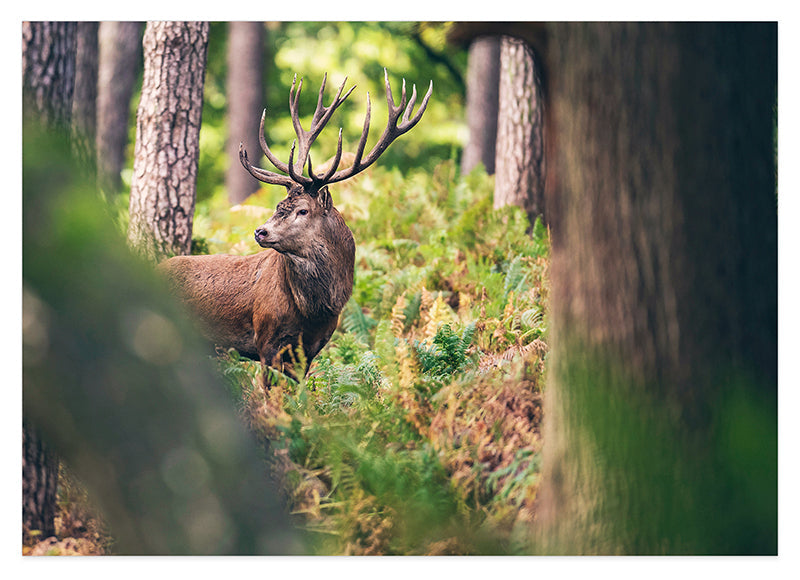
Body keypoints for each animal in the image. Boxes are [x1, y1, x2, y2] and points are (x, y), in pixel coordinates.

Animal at [159, 69, 433, 386]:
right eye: (279, 205)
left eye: (302, 210)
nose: (260, 231)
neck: (313, 312)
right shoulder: (266, 341)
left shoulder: (311, 349)